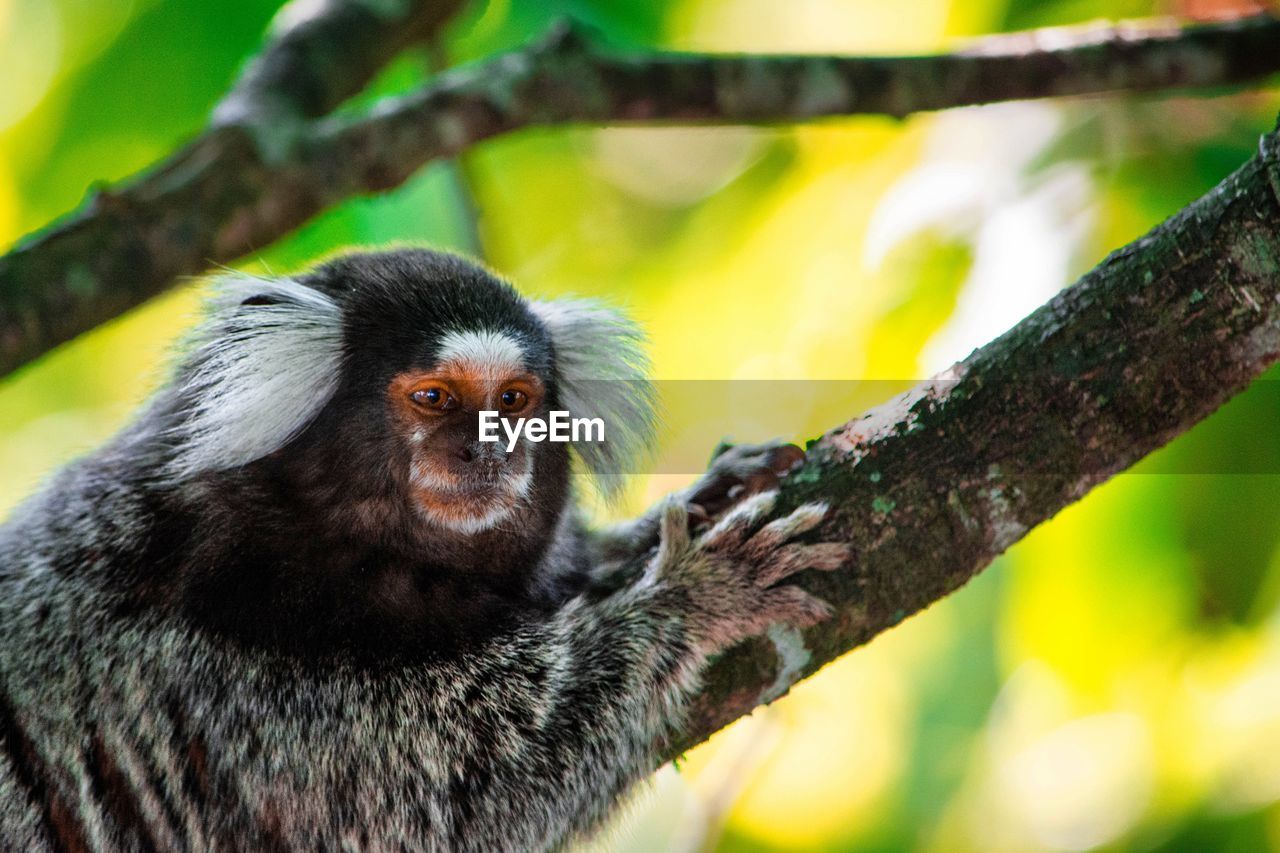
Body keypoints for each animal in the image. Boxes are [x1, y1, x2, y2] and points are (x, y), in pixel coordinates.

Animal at [0, 249, 849, 845]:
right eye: (434, 397)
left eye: (515, 400)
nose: (489, 450)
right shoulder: (216, 681)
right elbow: (474, 793)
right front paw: (696, 592)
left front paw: (698, 502)